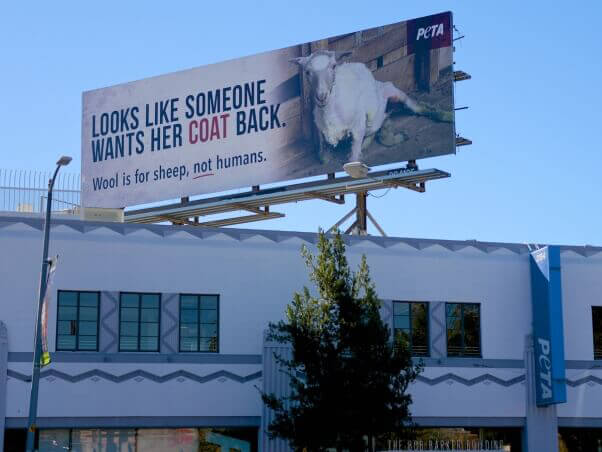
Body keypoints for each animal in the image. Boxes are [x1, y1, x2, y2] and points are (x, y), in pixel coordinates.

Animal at [290, 50, 432, 162]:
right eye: (307, 72)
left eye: (334, 66)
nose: (321, 96)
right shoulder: (320, 129)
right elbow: (322, 158)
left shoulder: (358, 126)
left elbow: (353, 159)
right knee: (379, 126)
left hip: (390, 90)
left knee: (413, 105)